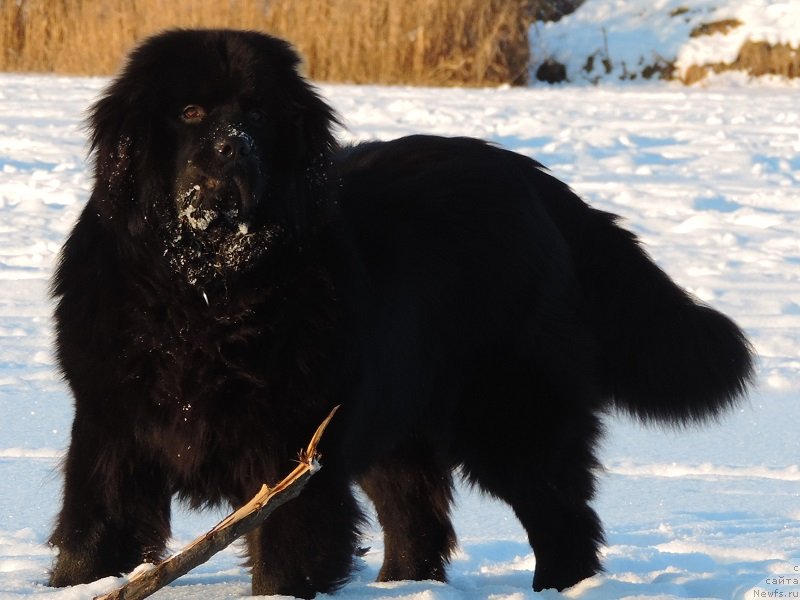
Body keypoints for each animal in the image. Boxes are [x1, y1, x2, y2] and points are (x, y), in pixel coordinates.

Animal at [47, 29, 752, 600]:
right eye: (190, 112)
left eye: (258, 115)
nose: (233, 149)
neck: (205, 289)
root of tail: (541, 182)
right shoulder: (112, 426)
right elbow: (94, 526)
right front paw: (80, 584)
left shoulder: (291, 448)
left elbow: (286, 552)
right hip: (399, 416)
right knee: (418, 516)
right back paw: (405, 586)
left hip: (509, 415)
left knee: (561, 513)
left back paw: (561, 587)